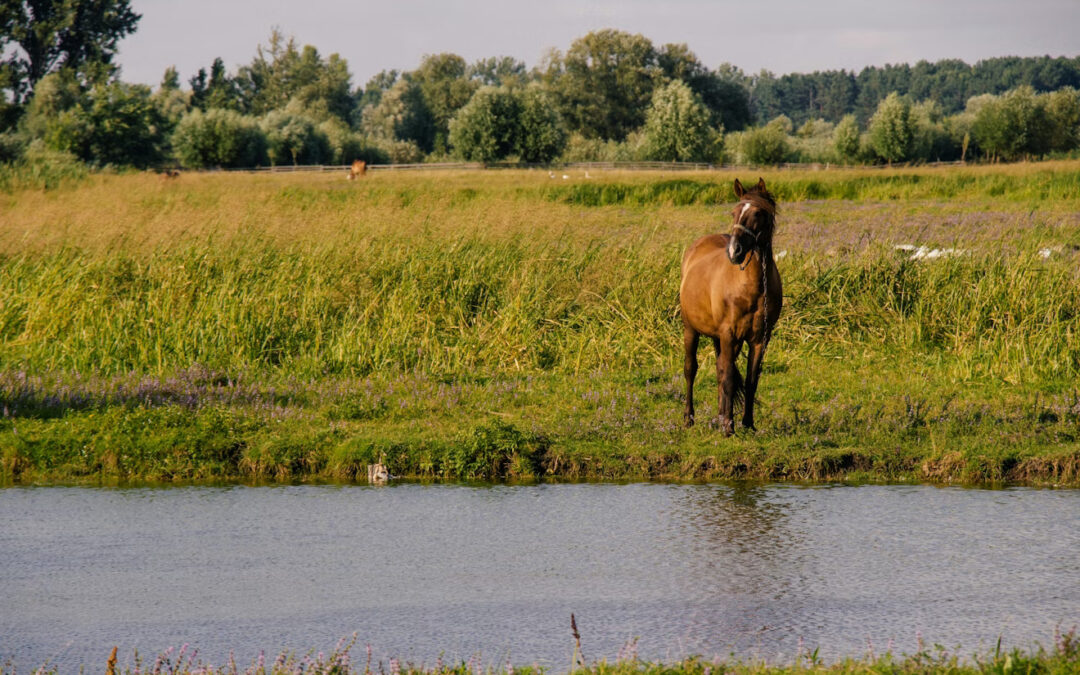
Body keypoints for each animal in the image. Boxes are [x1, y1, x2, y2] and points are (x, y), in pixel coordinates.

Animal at [678, 176, 781, 434]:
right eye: (734, 212)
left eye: (757, 213)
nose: (735, 252)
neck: (753, 286)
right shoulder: (728, 333)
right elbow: (728, 379)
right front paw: (728, 427)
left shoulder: (759, 339)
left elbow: (749, 380)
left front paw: (747, 423)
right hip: (691, 330)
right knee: (691, 369)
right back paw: (689, 418)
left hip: (719, 338)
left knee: (720, 369)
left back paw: (720, 415)